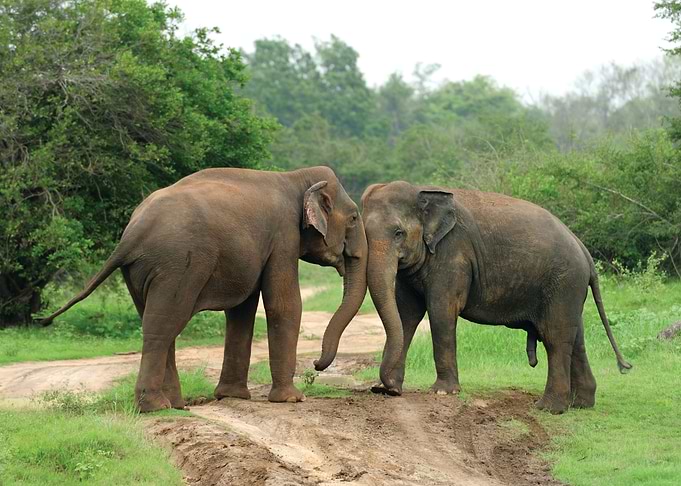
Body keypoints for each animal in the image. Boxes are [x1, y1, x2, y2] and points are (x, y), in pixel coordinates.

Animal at [40, 166, 367, 412]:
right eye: (353, 217)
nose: (316, 364)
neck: (295, 177)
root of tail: (131, 234)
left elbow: (241, 311)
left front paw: (232, 396)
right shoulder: (283, 235)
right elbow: (283, 304)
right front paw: (292, 399)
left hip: (139, 271)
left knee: (159, 322)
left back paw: (175, 405)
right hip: (177, 264)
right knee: (163, 325)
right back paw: (156, 407)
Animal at [320, 180, 631, 414]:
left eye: (398, 233)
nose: (382, 388)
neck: (423, 192)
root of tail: (583, 249)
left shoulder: (453, 253)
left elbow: (441, 310)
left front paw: (443, 393)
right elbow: (407, 314)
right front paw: (390, 388)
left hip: (563, 281)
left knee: (555, 337)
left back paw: (548, 408)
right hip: (568, 287)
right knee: (575, 337)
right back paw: (581, 404)